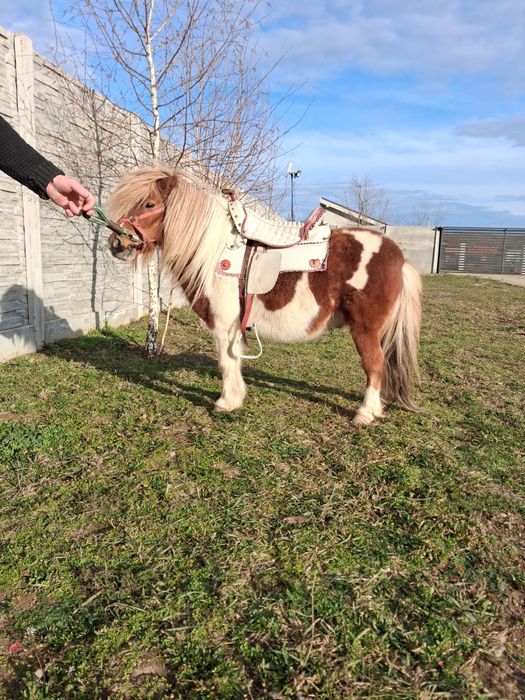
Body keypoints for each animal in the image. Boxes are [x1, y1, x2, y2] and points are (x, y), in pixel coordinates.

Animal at [106, 166, 422, 426]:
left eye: (149, 204)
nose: (117, 243)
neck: (213, 251)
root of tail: (398, 256)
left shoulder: (223, 325)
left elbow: (226, 362)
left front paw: (226, 402)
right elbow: (234, 360)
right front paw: (235, 398)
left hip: (365, 328)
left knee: (374, 364)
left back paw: (365, 414)